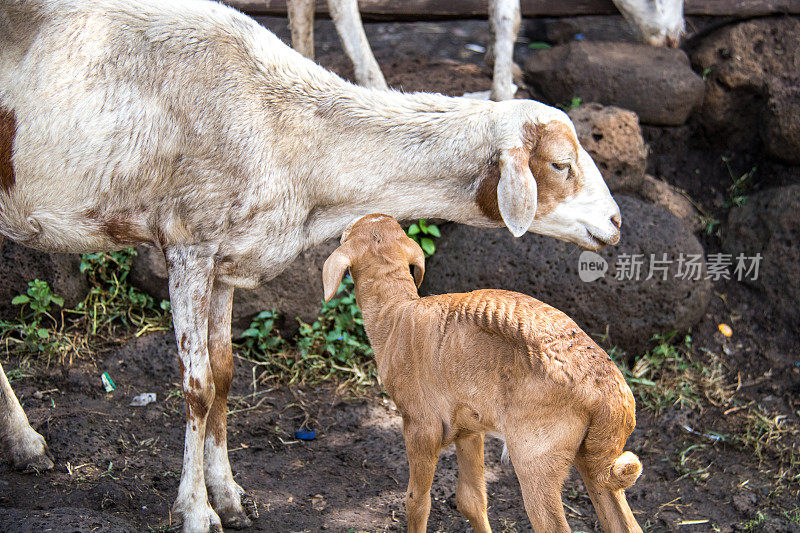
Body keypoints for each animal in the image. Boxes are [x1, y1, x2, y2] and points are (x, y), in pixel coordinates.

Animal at [0, 2, 620, 528]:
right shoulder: (188, 245)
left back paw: (26, 445)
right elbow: (197, 387)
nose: (616, 222)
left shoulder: (228, 255)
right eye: (561, 164)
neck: (291, 132)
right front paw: (197, 511)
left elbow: (225, 376)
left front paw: (230, 497)